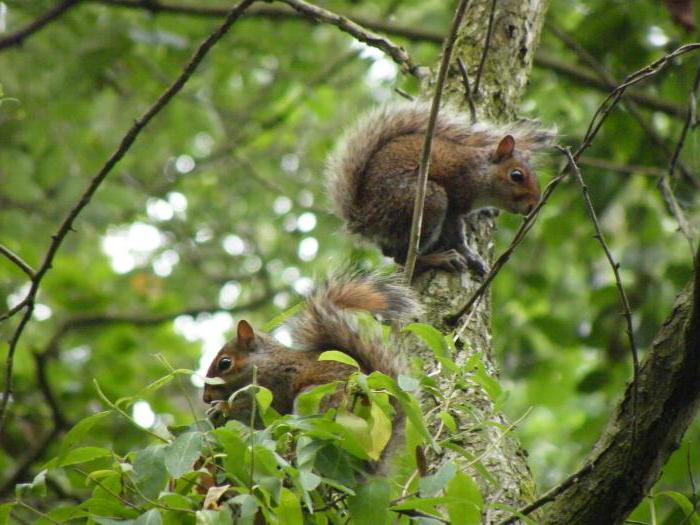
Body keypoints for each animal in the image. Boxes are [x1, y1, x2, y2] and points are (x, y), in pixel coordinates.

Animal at [202, 270, 422, 470]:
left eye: (224, 363)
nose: (205, 398)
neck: (264, 363)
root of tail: (373, 460)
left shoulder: (275, 386)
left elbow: (256, 409)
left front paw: (222, 407)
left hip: (319, 400)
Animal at [326, 101, 556, 276]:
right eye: (516, 176)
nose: (532, 206)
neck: (481, 173)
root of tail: (362, 217)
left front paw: (487, 211)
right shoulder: (456, 196)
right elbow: (456, 235)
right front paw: (470, 256)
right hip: (427, 200)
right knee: (402, 258)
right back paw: (438, 260)